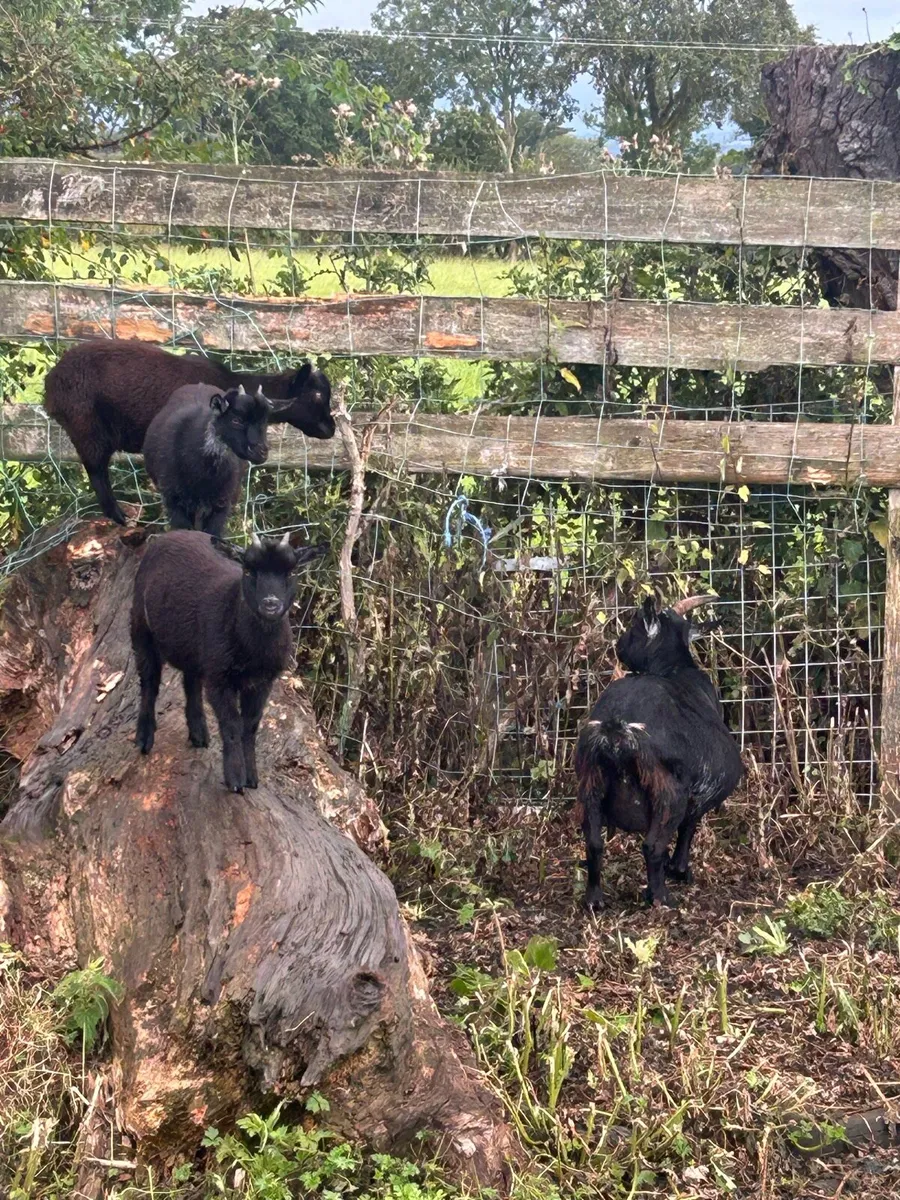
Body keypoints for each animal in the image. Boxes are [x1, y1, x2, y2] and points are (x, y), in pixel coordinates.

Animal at [131, 529, 325, 792]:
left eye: (292, 572)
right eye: (248, 571)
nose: (270, 604)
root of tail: (173, 533)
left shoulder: (263, 682)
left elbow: (250, 725)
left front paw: (252, 776)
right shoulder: (220, 678)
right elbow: (232, 724)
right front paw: (235, 777)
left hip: (196, 648)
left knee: (190, 681)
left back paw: (199, 733)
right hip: (141, 625)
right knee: (149, 682)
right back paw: (144, 737)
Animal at [143, 383, 271, 536]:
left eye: (264, 422)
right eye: (236, 420)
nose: (262, 452)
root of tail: (200, 384)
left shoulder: (222, 504)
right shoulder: (173, 500)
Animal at [574, 594, 743, 910]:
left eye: (634, 625)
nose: (619, 646)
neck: (674, 669)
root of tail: (618, 726)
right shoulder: (695, 795)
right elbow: (689, 827)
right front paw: (679, 870)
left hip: (590, 781)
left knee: (593, 842)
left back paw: (594, 899)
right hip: (667, 792)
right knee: (652, 845)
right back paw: (661, 897)